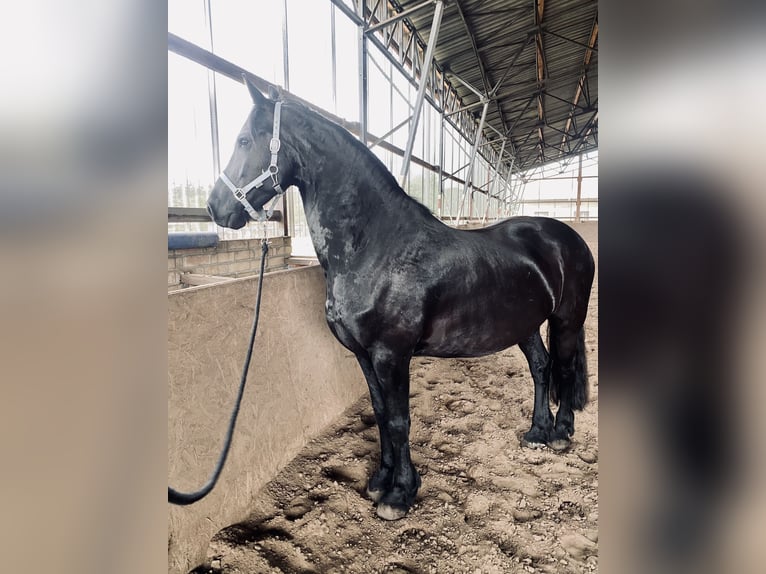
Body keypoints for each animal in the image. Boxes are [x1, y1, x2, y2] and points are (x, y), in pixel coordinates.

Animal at [206, 78, 595, 521]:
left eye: (243, 140)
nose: (215, 207)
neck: (376, 247)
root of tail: (567, 236)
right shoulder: (363, 354)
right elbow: (379, 414)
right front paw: (379, 481)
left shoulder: (392, 355)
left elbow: (398, 420)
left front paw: (399, 495)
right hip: (525, 323)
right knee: (541, 368)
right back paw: (536, 432)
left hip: (567, 319)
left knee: (564, 368)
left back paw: (561, 434)